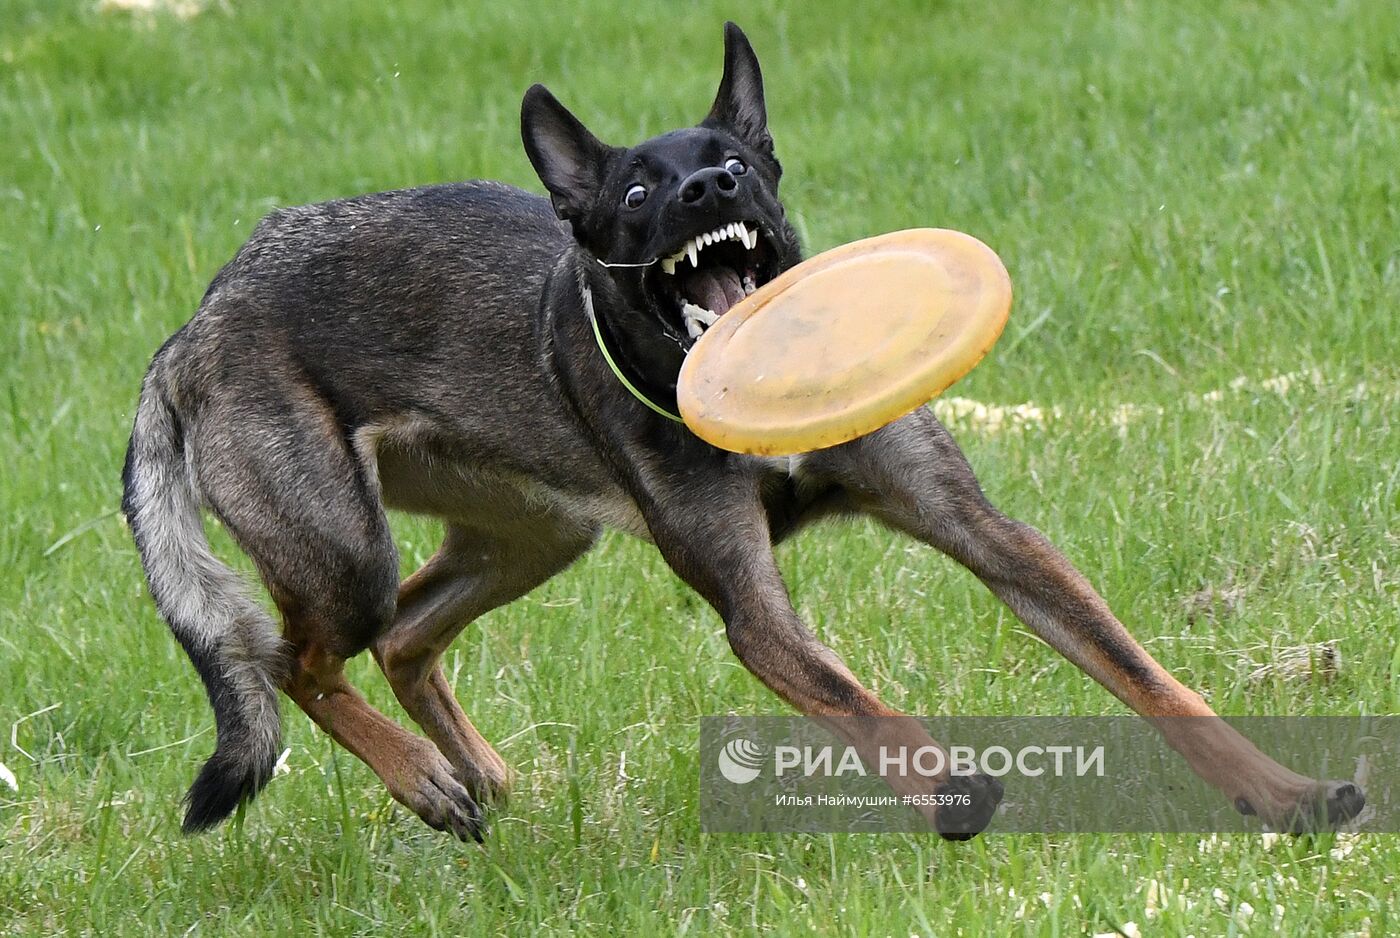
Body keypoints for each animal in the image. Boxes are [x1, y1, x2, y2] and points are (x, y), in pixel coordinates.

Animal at [126, 25, 1360, 840]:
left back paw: (473, 773)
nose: (708, 188)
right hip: (343, 544)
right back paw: (422, 777)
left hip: (530, 536)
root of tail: (201, 319)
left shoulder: (990, 538)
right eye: (636, 193)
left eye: (738, 161)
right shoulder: (755, 613)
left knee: (404, 638)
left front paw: (1284, 793)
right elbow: (858, 702)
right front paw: (950, 788)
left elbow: (1151, 680)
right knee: (296, 658)